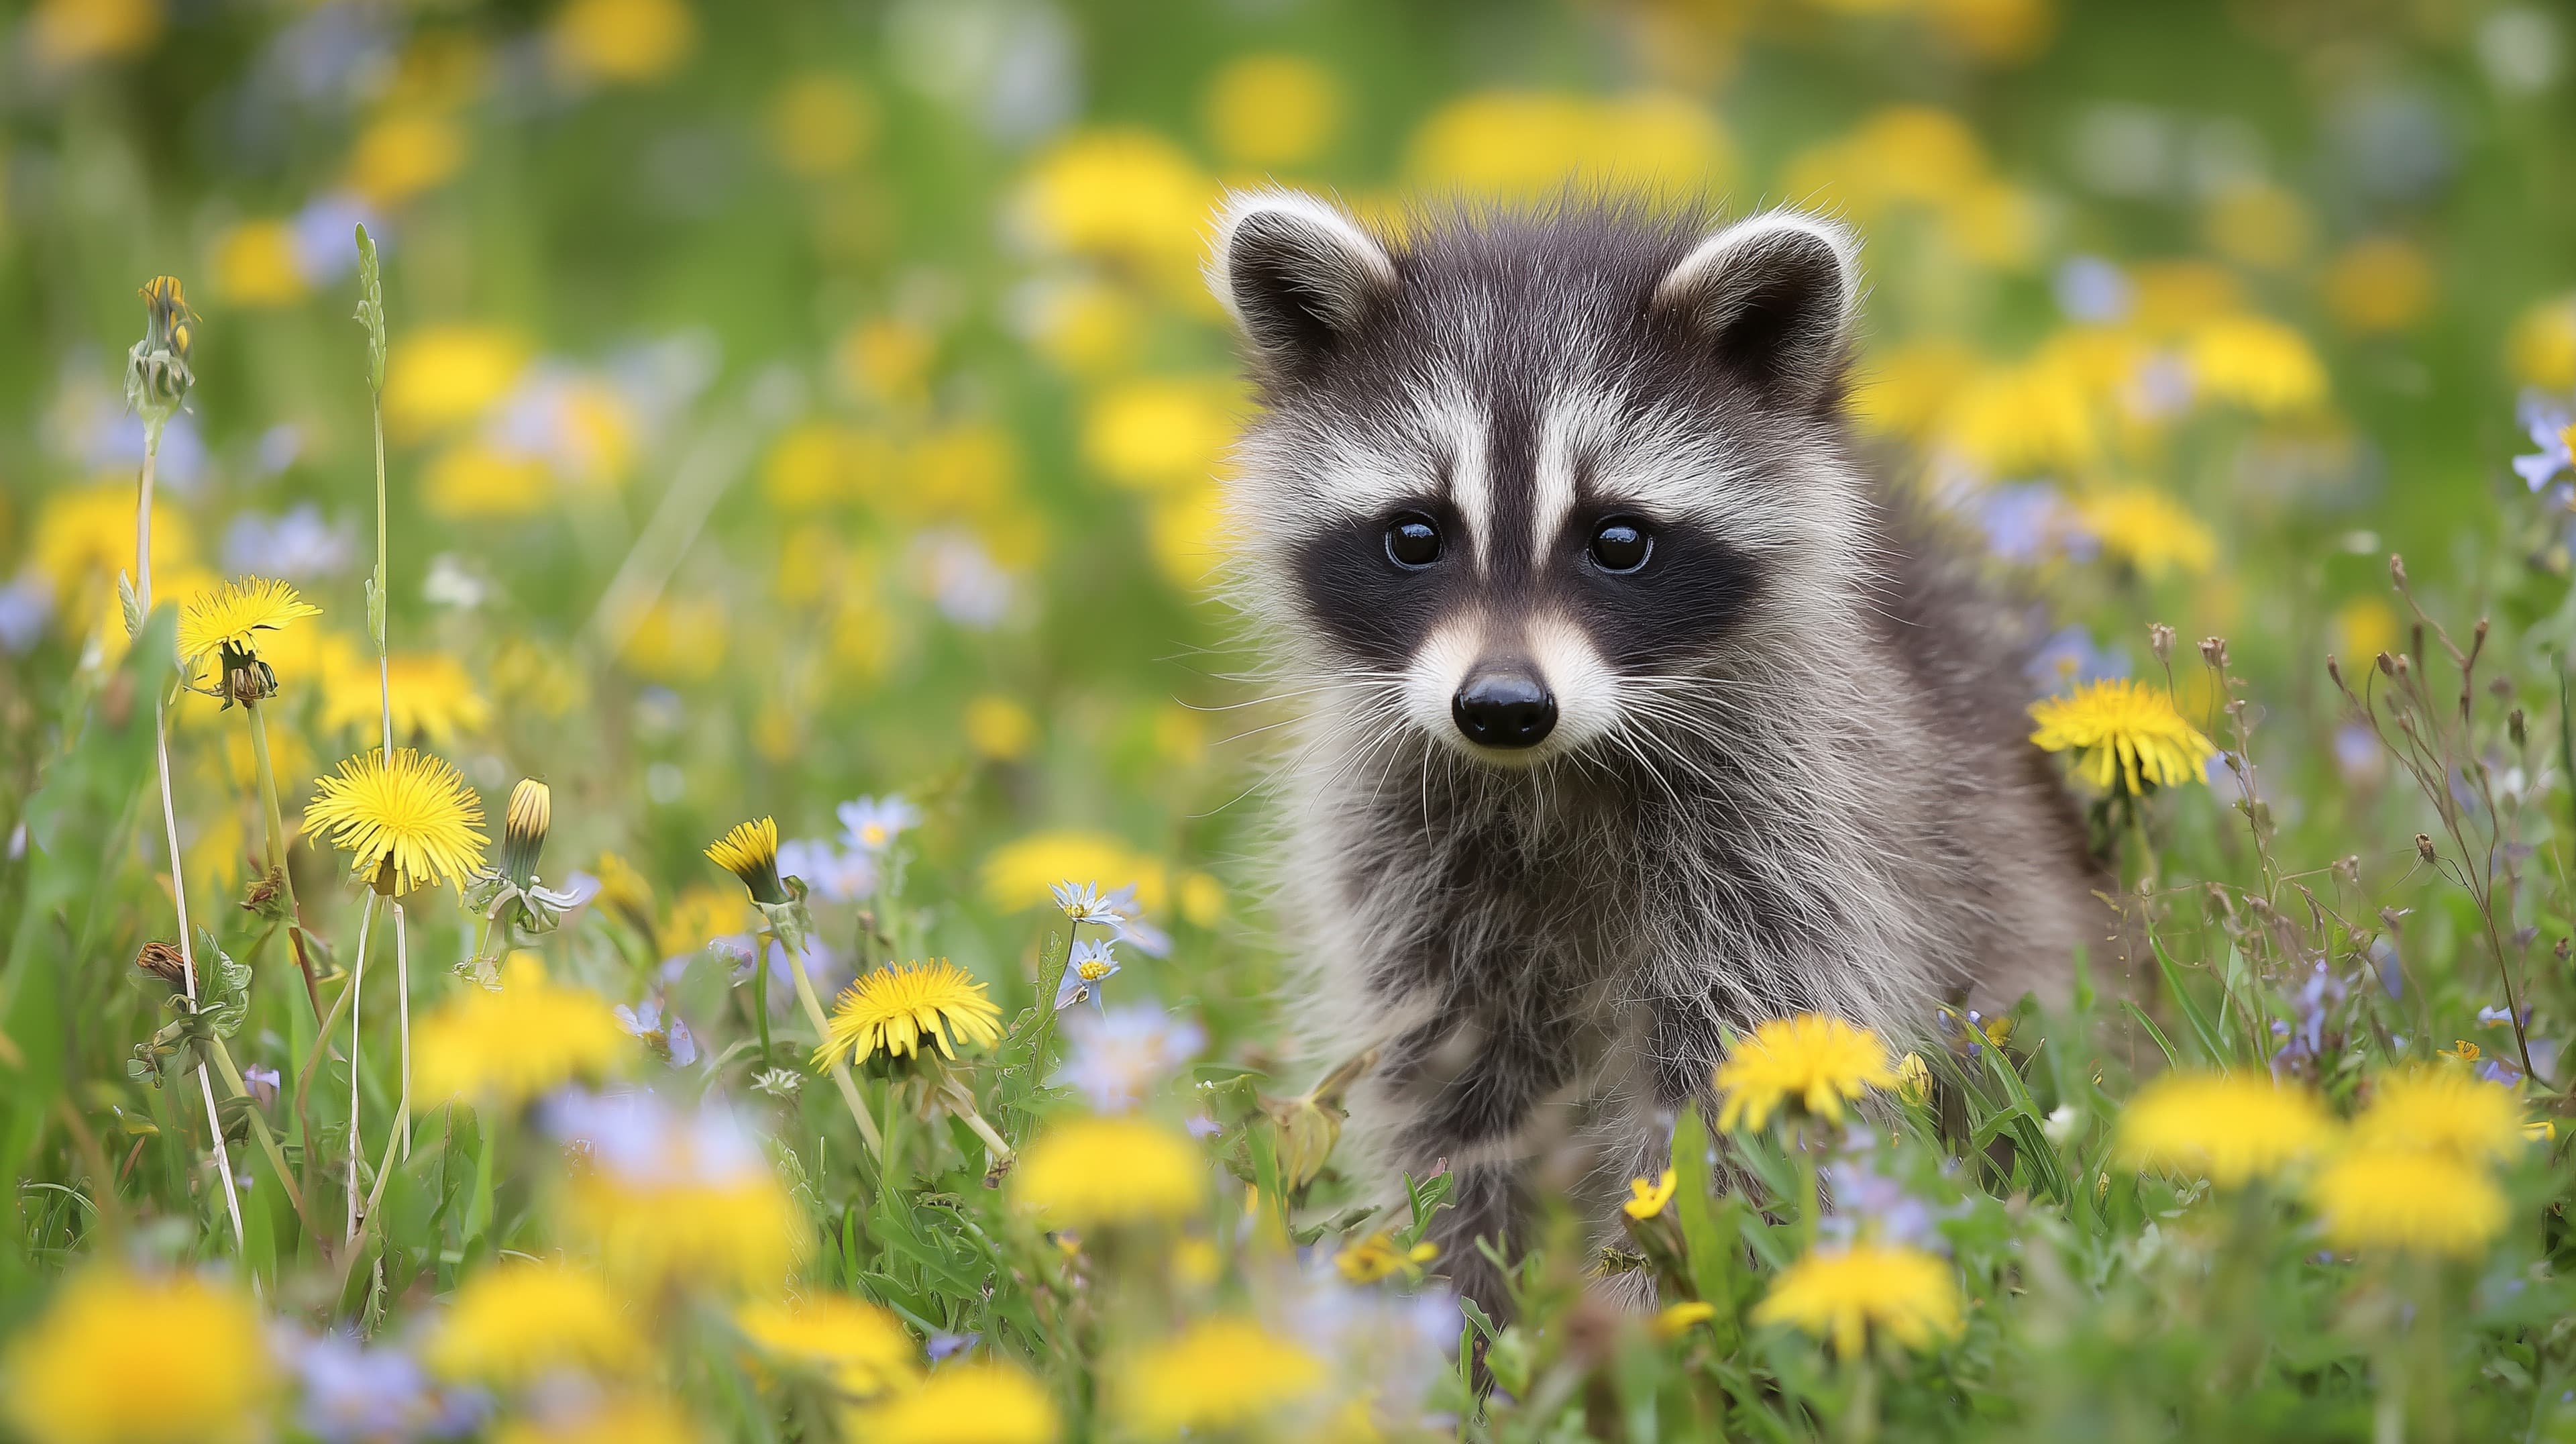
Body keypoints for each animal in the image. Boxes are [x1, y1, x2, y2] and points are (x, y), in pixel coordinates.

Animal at [1204, 190, 2110, 1315]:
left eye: (1619, 540)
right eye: (1415, 536)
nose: (1502, 708)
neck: (1552, 775)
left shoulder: (1798, 822)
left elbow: (1739, 1073)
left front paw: (1663, 1310)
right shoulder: (1402, 846)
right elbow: (1454, 1089)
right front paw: (1466, 1306)